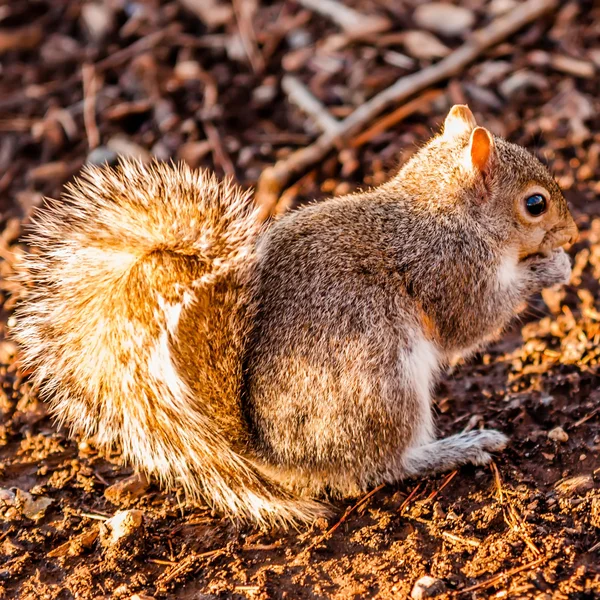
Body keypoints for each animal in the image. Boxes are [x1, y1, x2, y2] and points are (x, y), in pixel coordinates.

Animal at [12, 106, 576, 524]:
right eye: (535, 204)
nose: (572, 234)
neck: (446, 209)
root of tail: (275, 455)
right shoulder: (449, 268)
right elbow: (473, 321)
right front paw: (551, 268)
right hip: (381, 382)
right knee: (387, 464)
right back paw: (457, 447)